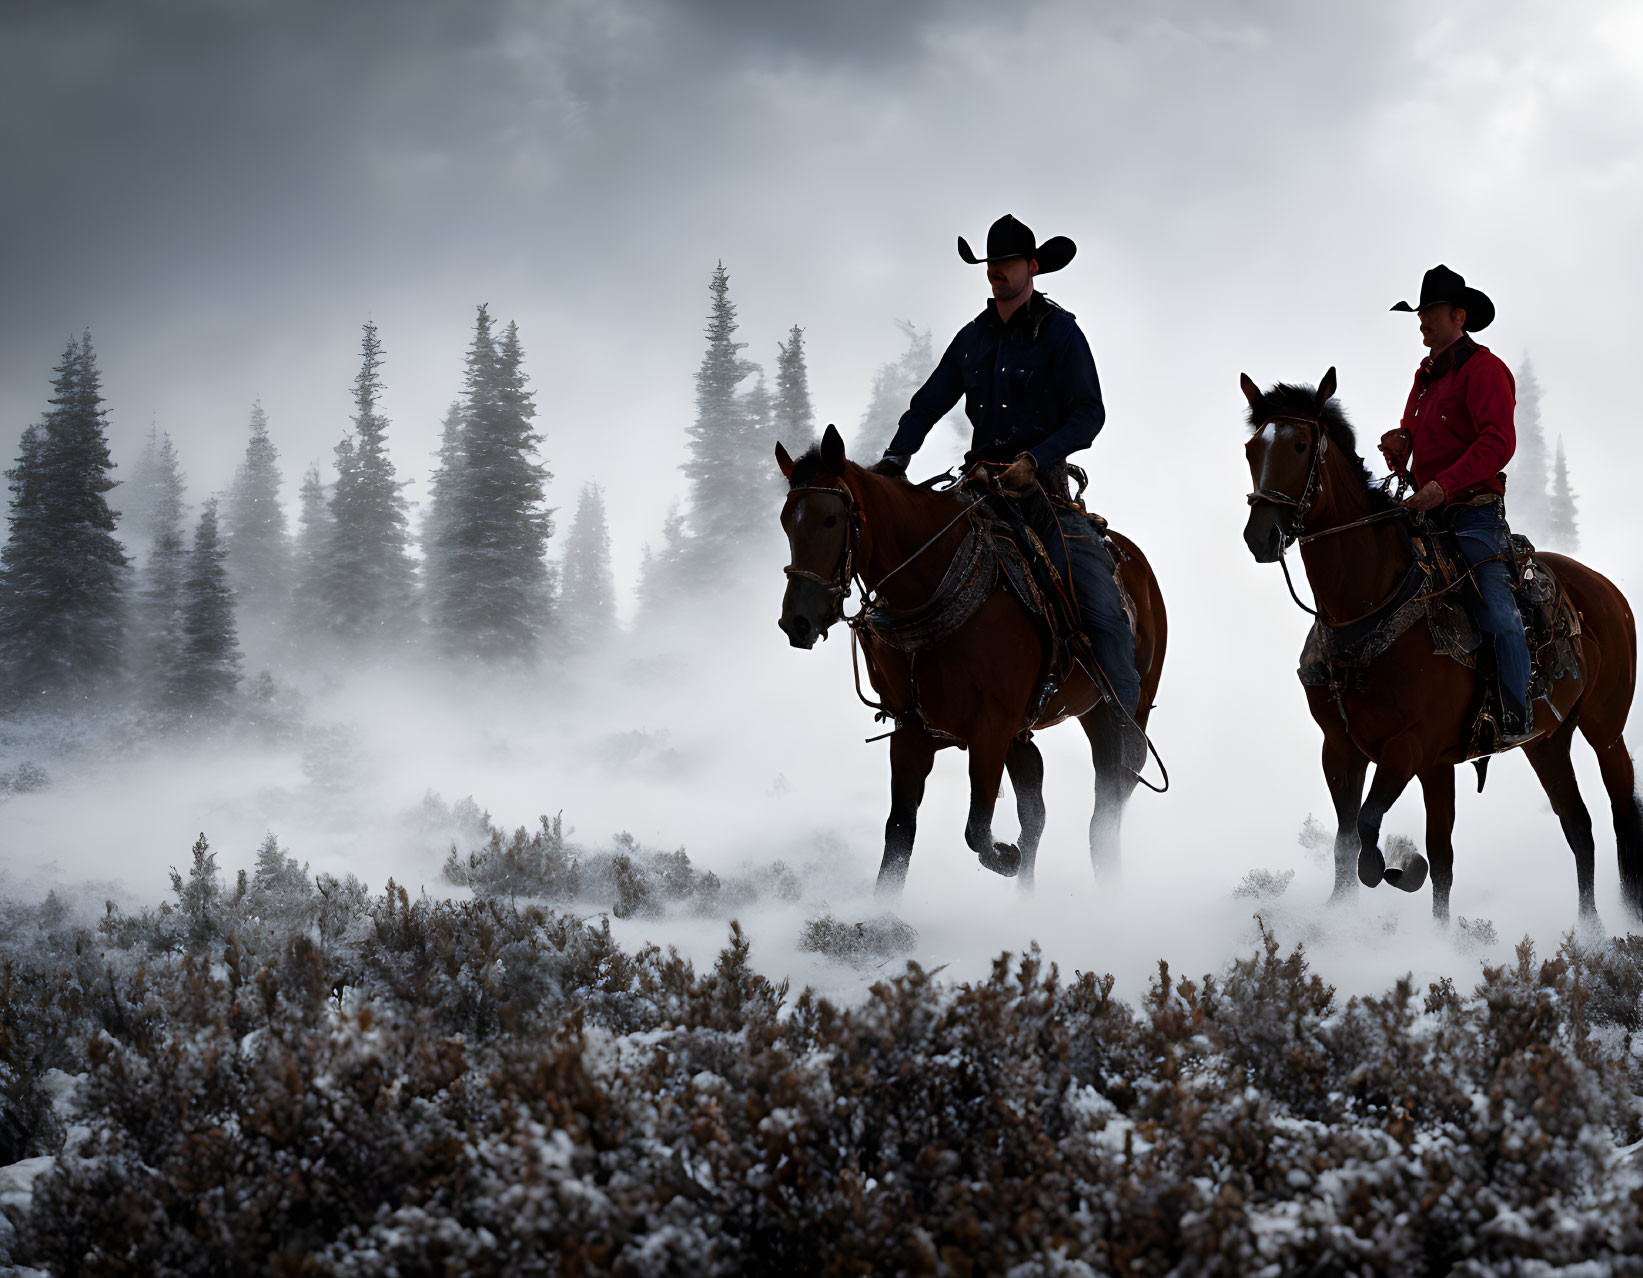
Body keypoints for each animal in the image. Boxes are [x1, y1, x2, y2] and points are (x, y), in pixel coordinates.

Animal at [772, 423, 1169, 893]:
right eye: (786, 522)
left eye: (832, 518)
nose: (797, 621)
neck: (933, 586)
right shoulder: (913, 728)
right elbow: (899, 836)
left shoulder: (991, 728)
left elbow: (977, 831)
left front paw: (1006, 855)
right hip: (1034, 727)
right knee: (1037, 809)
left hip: (1116, 709)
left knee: (1109, 801)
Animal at [1242, 363, 1643, 919]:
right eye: (1251, 449)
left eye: (1301, 445)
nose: (1261, 536)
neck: (1369, 608)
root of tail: (1607, 591)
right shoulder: (1345, 748)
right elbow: (1370, 846)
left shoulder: (1410, 747)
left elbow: (1374, 833)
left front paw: (1399, 871)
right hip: (1548, 740)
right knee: (1578, 828)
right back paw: (1590, 930)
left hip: (1605, 726)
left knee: (1621, 814)